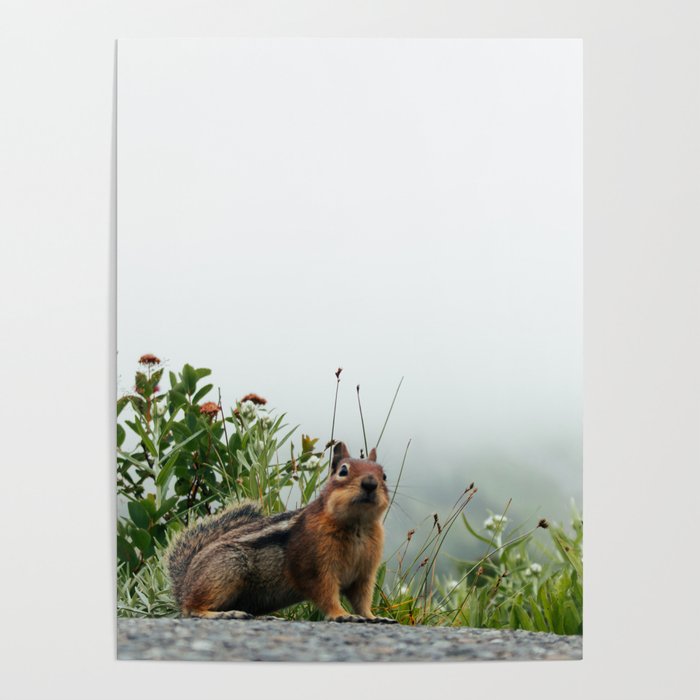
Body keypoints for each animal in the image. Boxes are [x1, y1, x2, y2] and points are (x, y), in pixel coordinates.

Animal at [165, 441, 397, 623]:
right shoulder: (315, 566)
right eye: (343, 471)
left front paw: (373, 617)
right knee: (192, 608)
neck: (358, 526)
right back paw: (224, 613)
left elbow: (362, 600)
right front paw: (342, 614)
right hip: (226, 568)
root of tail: (183, 584)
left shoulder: (365, 573)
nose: (370, 483)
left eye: (384, 475)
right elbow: (326, 594)